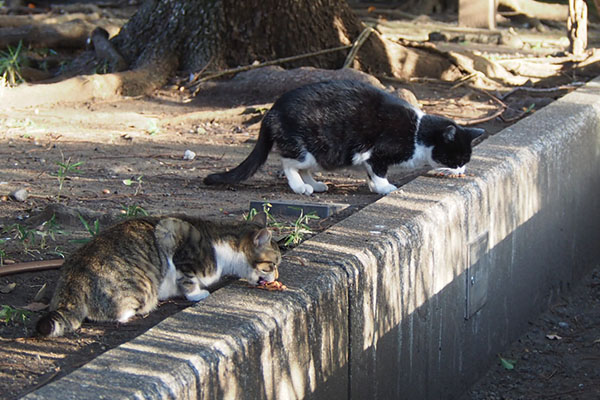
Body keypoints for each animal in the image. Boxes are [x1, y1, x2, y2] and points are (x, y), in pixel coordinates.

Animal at [36, 214, 280, 336]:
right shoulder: (176, 240)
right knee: (116, 313)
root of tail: (74, 275)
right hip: (142, 287)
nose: (277, 277)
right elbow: (188, 278)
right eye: (273, 264)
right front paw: (197, 294)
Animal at [204, 79, 486, 195]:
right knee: (288, 162)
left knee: (303, 167)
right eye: (458, 158)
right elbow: (379, 171)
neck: (417, 133)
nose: (462, 170)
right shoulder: (378, 152)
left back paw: (315, 184)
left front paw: (373, 186)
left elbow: (370, 173)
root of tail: (272, 110)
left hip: (320, 153)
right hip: (309, 147)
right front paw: (384, 188)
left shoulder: (366, 158)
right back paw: (300, 187)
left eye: (466, 160)